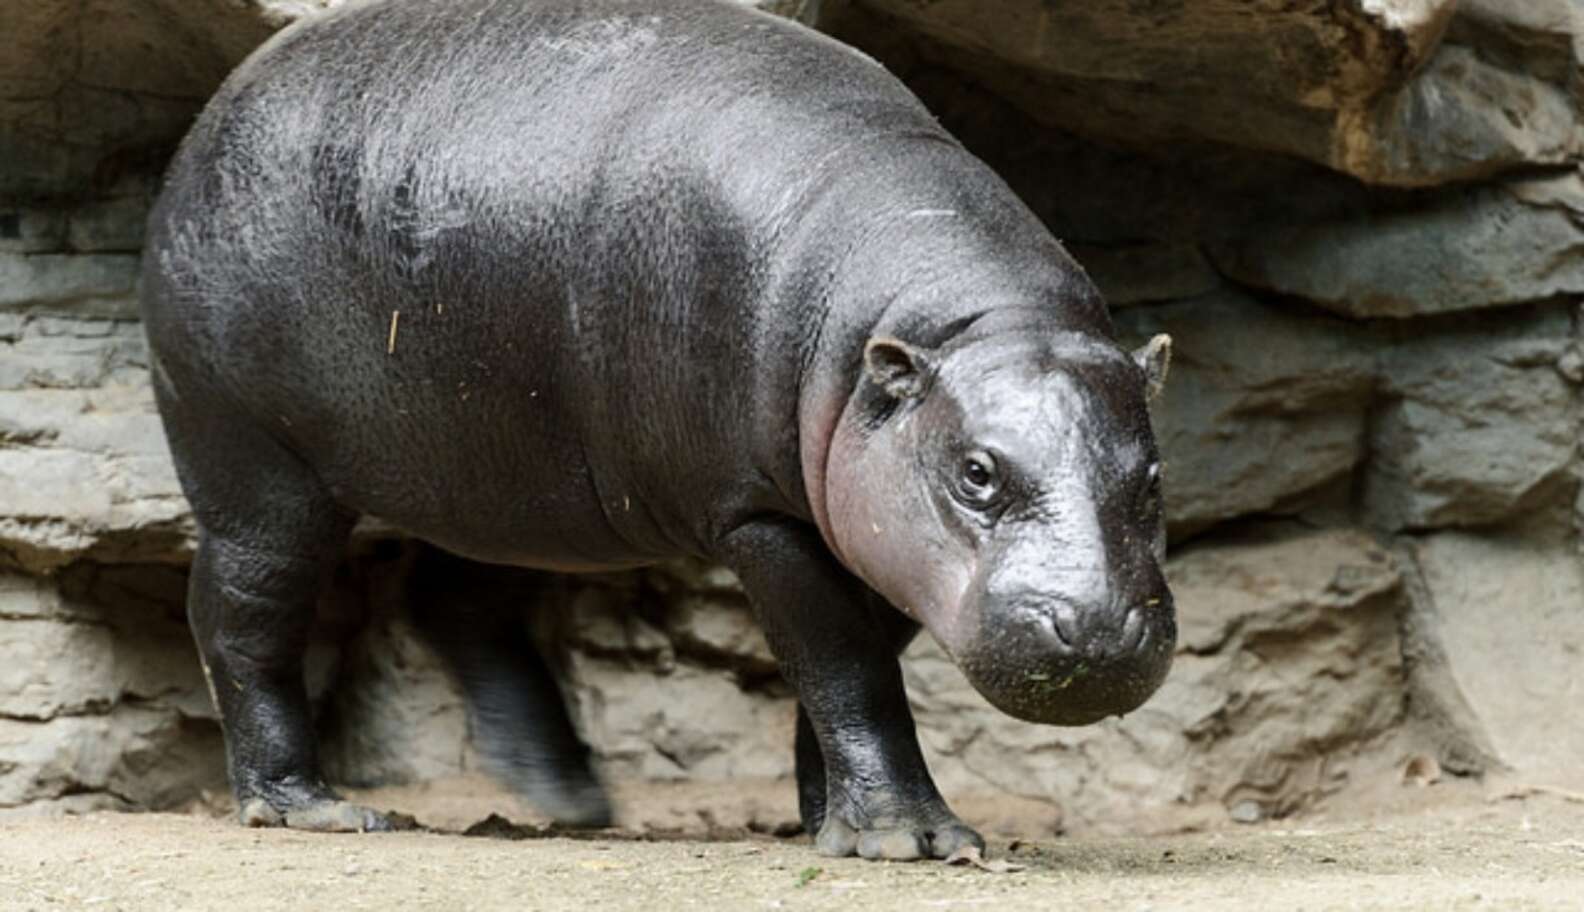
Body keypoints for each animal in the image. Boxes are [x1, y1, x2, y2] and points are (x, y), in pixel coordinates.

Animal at [139, 0, 1178, 861]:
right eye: (976, 472)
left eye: (1154, 477)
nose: (1100, 630)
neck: (963, 321)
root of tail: (217, 108)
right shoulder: (763, 515)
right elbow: (846, 666)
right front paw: (912, 840)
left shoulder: (875, 525)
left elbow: (849, 674)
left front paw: (828, 821)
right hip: (256, 462)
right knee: (242, 616)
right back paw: (312, 810)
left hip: (506, 475)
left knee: (457, 602)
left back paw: (571, 801)